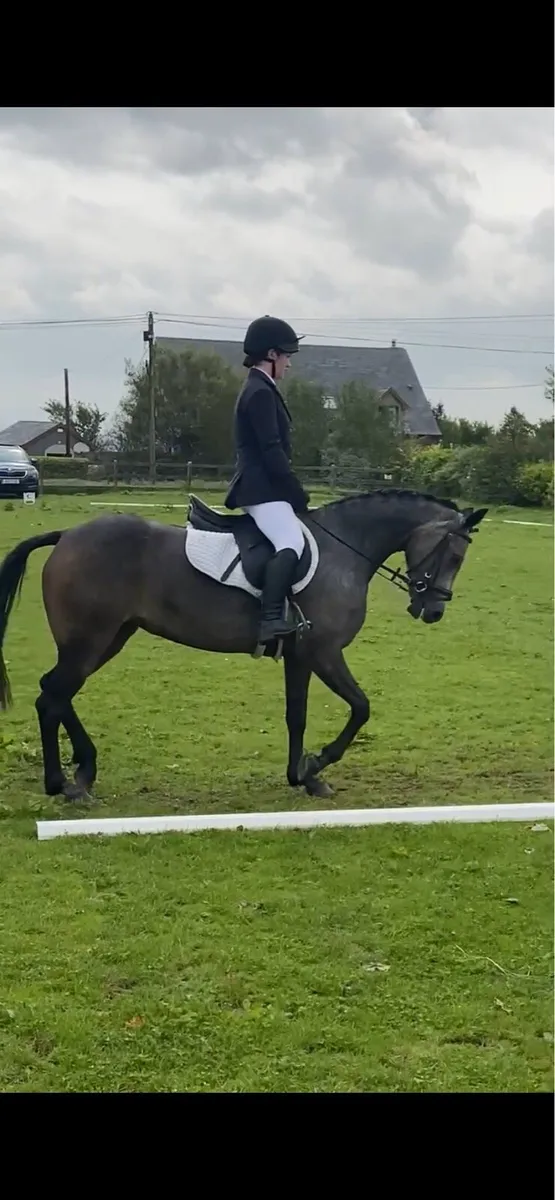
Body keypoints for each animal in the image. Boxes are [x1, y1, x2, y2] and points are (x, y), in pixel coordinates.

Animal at [0, 488, 487, 803]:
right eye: (453, 555)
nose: (433, 610)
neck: (345, 552)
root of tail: (67, 535)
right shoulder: (324, 652)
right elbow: (361, 707)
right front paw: (317, 765)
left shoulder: (300, 657)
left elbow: (297, 715)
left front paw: (301, 776)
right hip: (91, 640)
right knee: (52, 697)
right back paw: (62, 783)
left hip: (108, 638)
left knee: (56, 694)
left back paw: (82, 772)